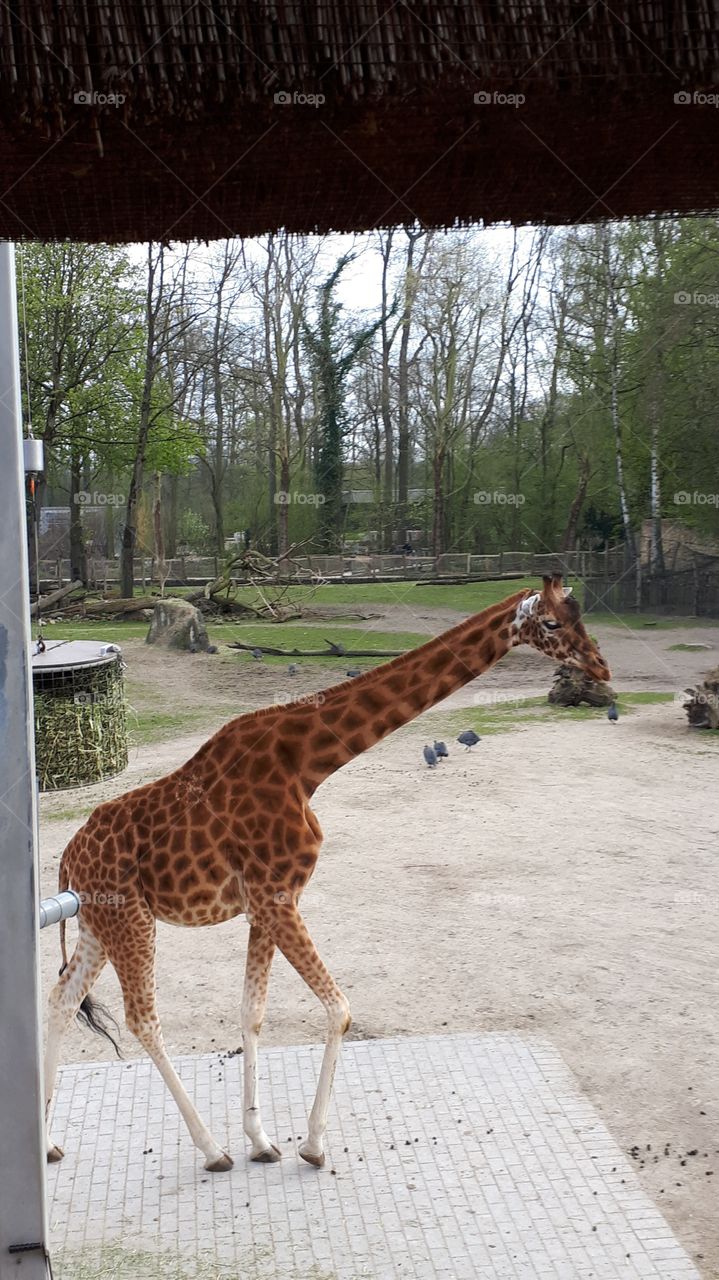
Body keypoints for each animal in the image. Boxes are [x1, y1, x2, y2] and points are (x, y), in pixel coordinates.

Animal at [44, 574, 610, 1173]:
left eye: (580, 615)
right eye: (551, 622)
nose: (600, 667)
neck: (308, 764)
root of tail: (67, 859)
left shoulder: (264, 903)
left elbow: (252, 1013)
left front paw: (262, 1140)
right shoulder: (277, 896)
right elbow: (339, 1009)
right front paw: (311, 1144)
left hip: (98, 925)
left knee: (61, 999)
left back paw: (52, 1143)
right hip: (130, 921)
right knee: (142, 1019)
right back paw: (211, 1149)